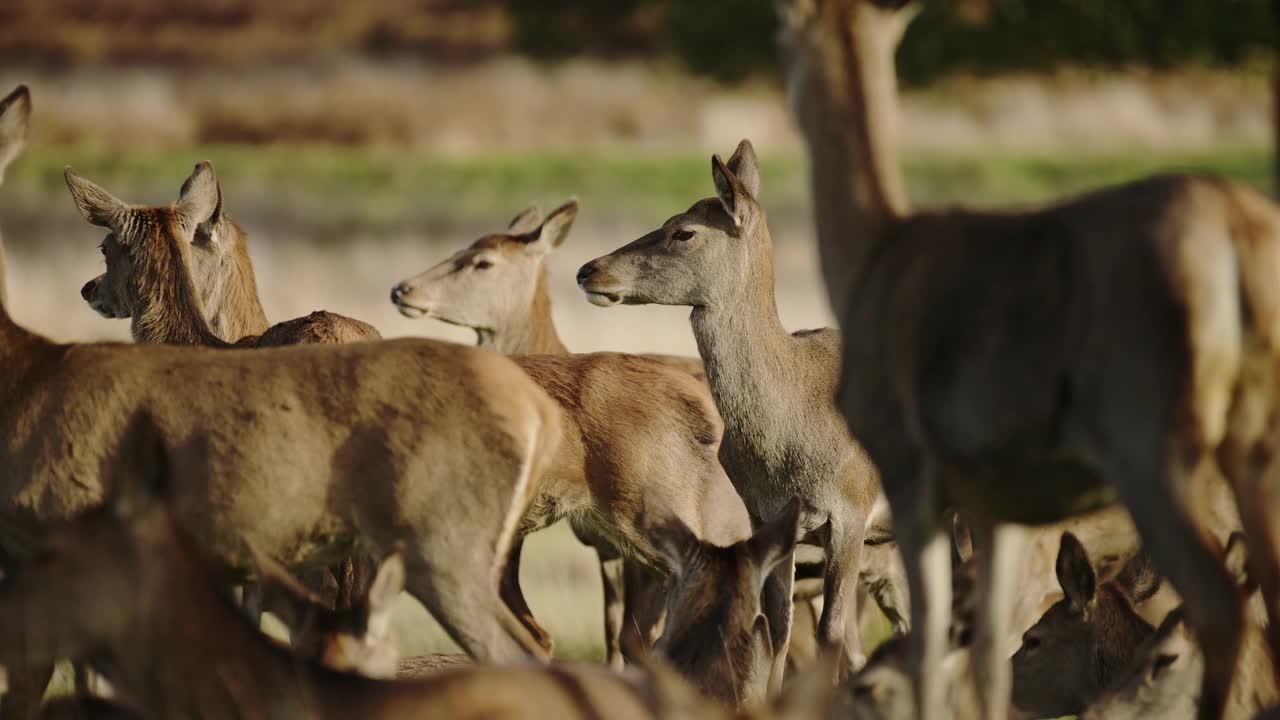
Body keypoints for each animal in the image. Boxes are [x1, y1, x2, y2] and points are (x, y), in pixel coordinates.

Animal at [773, 2, 1280, 712]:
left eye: (782, 38)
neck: (870, 259)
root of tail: (1238, 239)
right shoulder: (997, 498)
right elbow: (986, 650)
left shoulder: (907, 465)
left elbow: (931, 641)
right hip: (1254, 437)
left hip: (1151, 435)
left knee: (1220, 604)